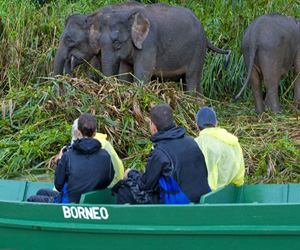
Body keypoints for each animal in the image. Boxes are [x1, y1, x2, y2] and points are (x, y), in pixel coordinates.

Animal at [96, 2, 230, 94]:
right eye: (98, 42)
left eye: (117, 44)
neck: (129, 14)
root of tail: (205, 36)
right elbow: (124, 72)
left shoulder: (149, 43)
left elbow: (142, 73)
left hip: (198, 51)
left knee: (191, 78)